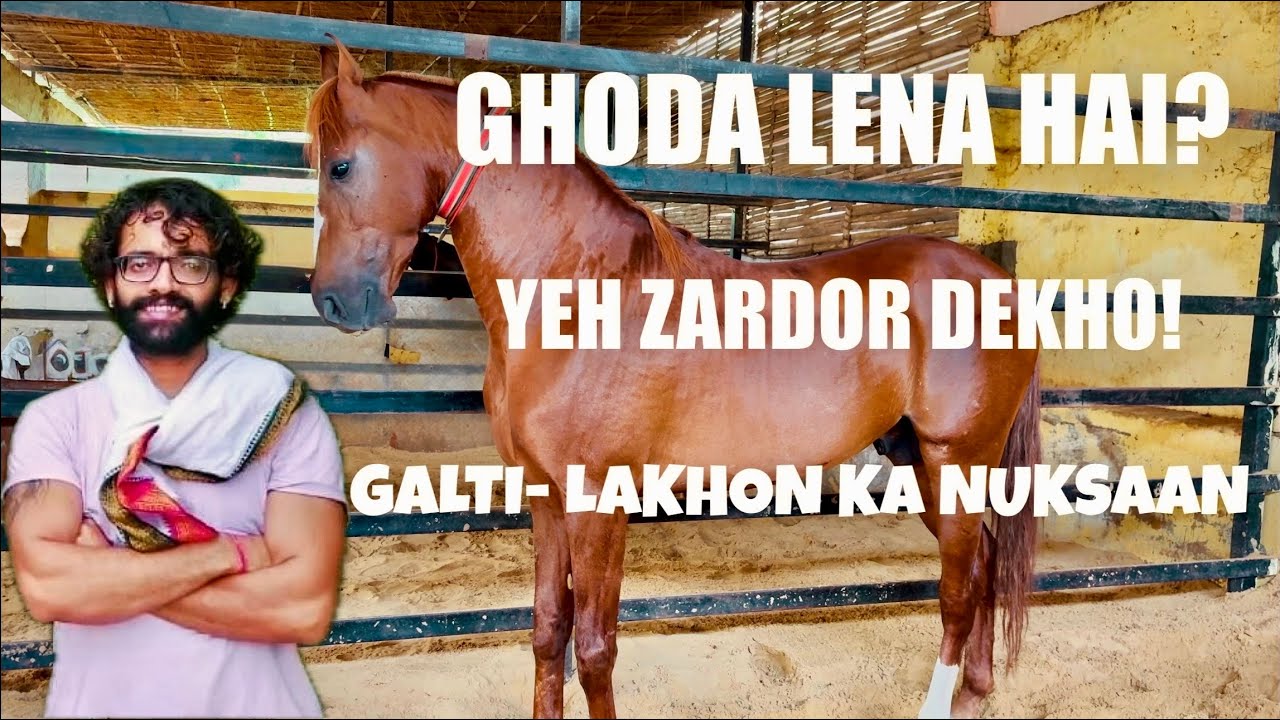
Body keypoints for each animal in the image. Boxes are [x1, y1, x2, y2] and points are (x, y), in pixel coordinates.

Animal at [304, 36, 1042, 720]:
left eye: (340, 167)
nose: (333, 302)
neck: (576, 291)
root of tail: (1000, 281)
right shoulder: (547, 498)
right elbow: (548, 633)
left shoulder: (599, 503)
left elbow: (594, 648)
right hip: (921, 463)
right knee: (982, 569)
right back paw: (975, 695)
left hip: (957, 460)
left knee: (957, 593)